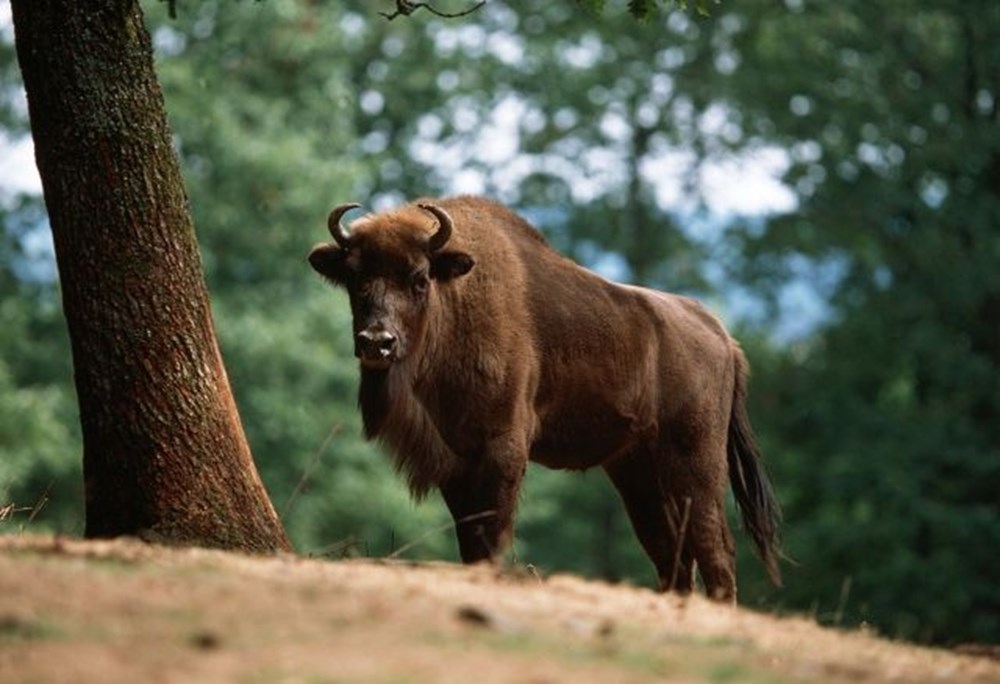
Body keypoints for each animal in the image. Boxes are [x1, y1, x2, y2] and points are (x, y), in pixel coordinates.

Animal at [308, 196, 776, 600]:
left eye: (420, 278)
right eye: (354, 277)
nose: (377, 342)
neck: (454, 301)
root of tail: (722, 337)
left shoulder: (502, 449)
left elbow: (492, 534)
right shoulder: (455, 460)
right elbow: (470, 539)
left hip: (696, 461)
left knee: (714, 546)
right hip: (636, 469)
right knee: (670, 550)